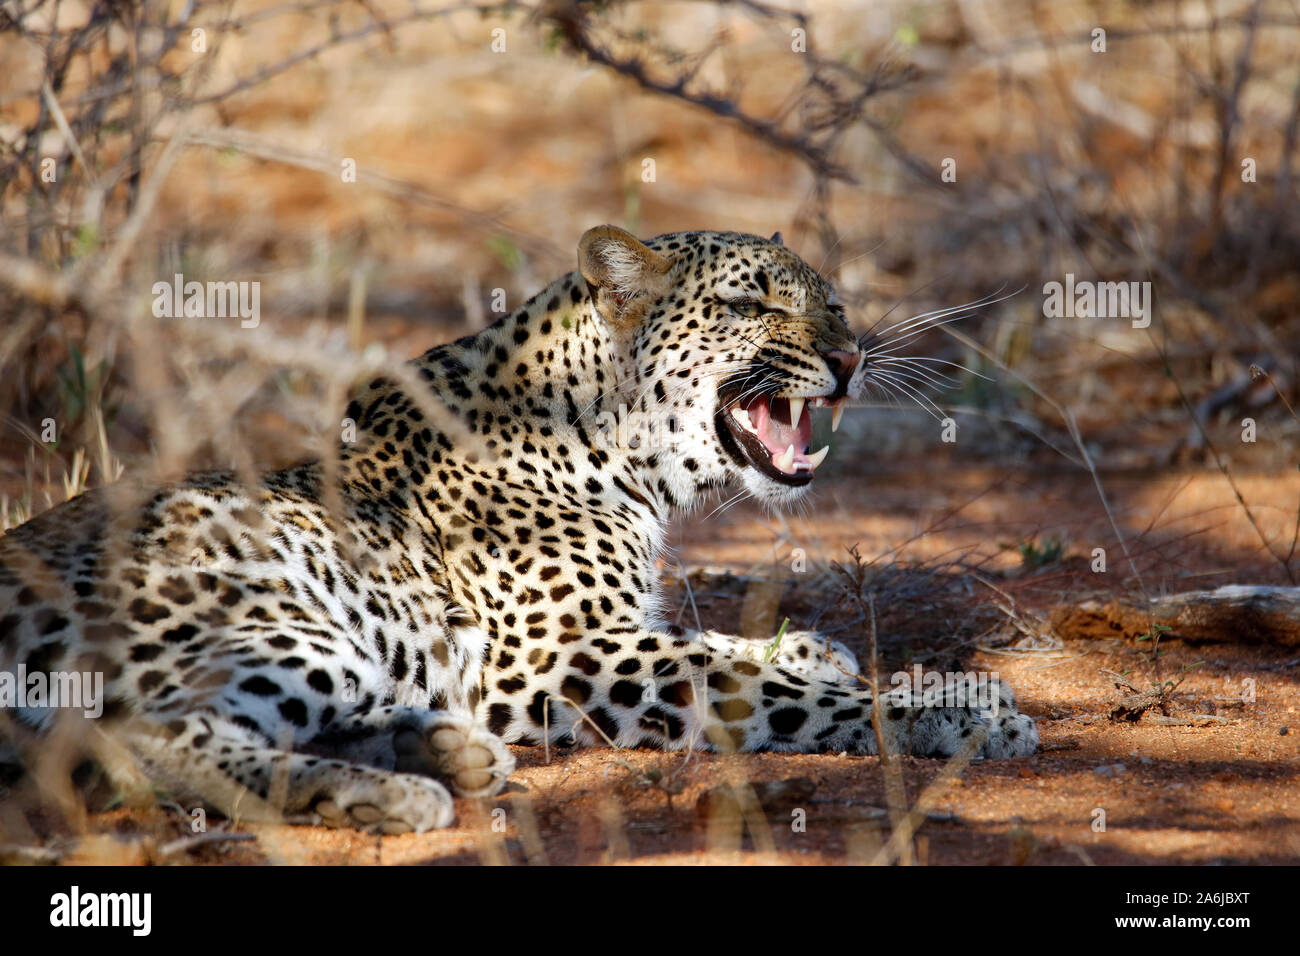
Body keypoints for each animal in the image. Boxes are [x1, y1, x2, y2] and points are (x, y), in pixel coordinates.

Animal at [0, 222, 1034, 832]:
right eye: (749, 303)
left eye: (836, 303)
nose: (851, 357)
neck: (608, 440)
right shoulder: (561, 653)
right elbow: (747, 683)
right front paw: (954, 710)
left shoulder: (614, 630)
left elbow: (720, 641)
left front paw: (825, 650)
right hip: (282, 626)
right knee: (131, 747)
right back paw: (395, 791)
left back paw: (440, 749)